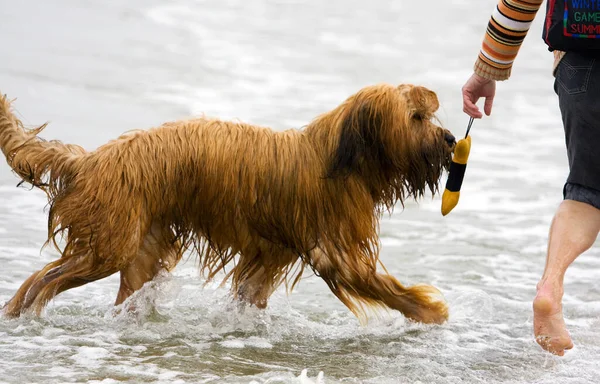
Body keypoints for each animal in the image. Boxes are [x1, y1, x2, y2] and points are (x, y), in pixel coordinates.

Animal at [0, 84, 454, 324]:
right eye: (416, 117)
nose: (451, 139)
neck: (341, 156)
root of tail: (91, 158)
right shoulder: (336, 250)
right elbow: (382, 285)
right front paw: (428, 310)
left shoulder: (271, 254)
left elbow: (251, 291)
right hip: (108, 244)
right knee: (41, 279)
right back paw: (20, 312)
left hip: (139, 248)